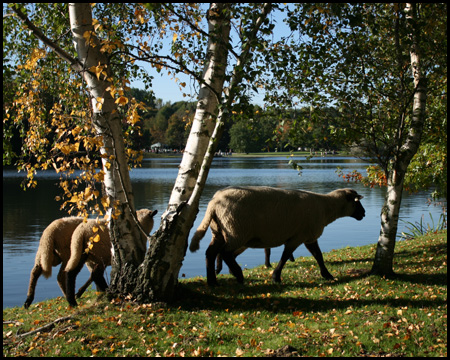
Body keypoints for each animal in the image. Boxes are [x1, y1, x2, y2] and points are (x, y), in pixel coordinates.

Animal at [188, 187, 364, 286]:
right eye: (356, 202)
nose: (364, 213)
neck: (326, 208)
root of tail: (213, 203)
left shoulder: (309, 236)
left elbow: (318, 256)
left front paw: (327, 275)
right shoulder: (298, 236)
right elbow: (285, 256)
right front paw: (276, 277)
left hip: (219, 231)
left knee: (211, 253)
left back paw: (212, 281)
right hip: (235, 230)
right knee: (225, 253)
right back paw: (238, 275)